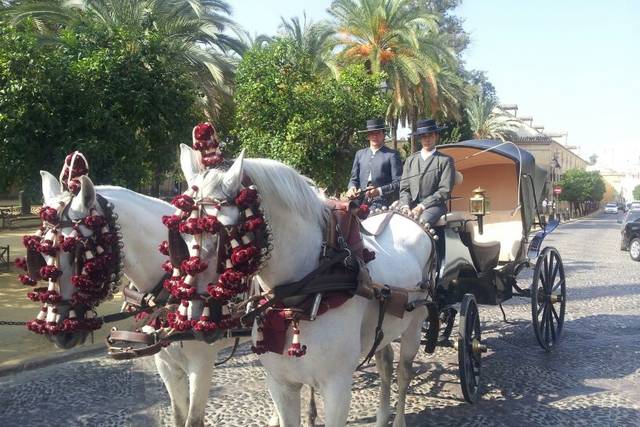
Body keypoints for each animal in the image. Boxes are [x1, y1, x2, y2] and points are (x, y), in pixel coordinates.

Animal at [35, 171, 245, 427]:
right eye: (42, 253)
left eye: (79, 255)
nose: (57, 331)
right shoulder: (166, 362)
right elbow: (178, 415)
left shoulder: (202, 365)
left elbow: (193, 419)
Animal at [178, 145, 432, 426]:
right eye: (184, 232)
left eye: (227, 233)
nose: (195, 315)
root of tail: (403, 215)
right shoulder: (281, 384)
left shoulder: (338, 389)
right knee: (385, 365)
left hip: (415, 325)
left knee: (403, 374)